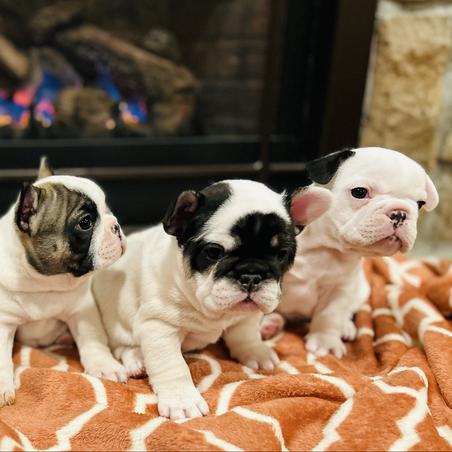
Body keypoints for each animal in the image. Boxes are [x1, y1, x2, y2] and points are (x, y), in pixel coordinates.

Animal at [0, 157, 128, 406]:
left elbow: (93, 339)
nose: (116, 225)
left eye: (107, 208)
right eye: (86, 223)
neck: (44, 283)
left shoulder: (83, 311)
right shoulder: (3, 322)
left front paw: (105, 365)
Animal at [93, 179, 332, 420]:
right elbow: (172, 365)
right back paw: (137, 359)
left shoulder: (245, 316)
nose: (252, 275)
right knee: (121, 346)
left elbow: (245, 334)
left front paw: (255, 350)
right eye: (214, 252)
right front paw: (182, 400)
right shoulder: (159, 326)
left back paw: (269, 325)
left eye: (281, 255)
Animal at [261, 147, 439, 357]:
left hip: (361, 290)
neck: (327, 249)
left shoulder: (340, 289)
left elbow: (329, 314)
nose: (400, 213)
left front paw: (325, 341)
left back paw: (345, 327)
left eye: (420, 203)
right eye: (359, 192)